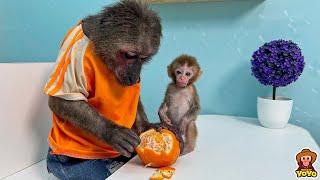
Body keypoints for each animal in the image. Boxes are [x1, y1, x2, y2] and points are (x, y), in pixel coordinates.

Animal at [43, 1, 178, 179]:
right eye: (130, 56)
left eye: (143, 58)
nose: (135, 74)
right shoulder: (75, 55)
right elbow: (60, 101)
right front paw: (111, 132)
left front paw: (146, 126)